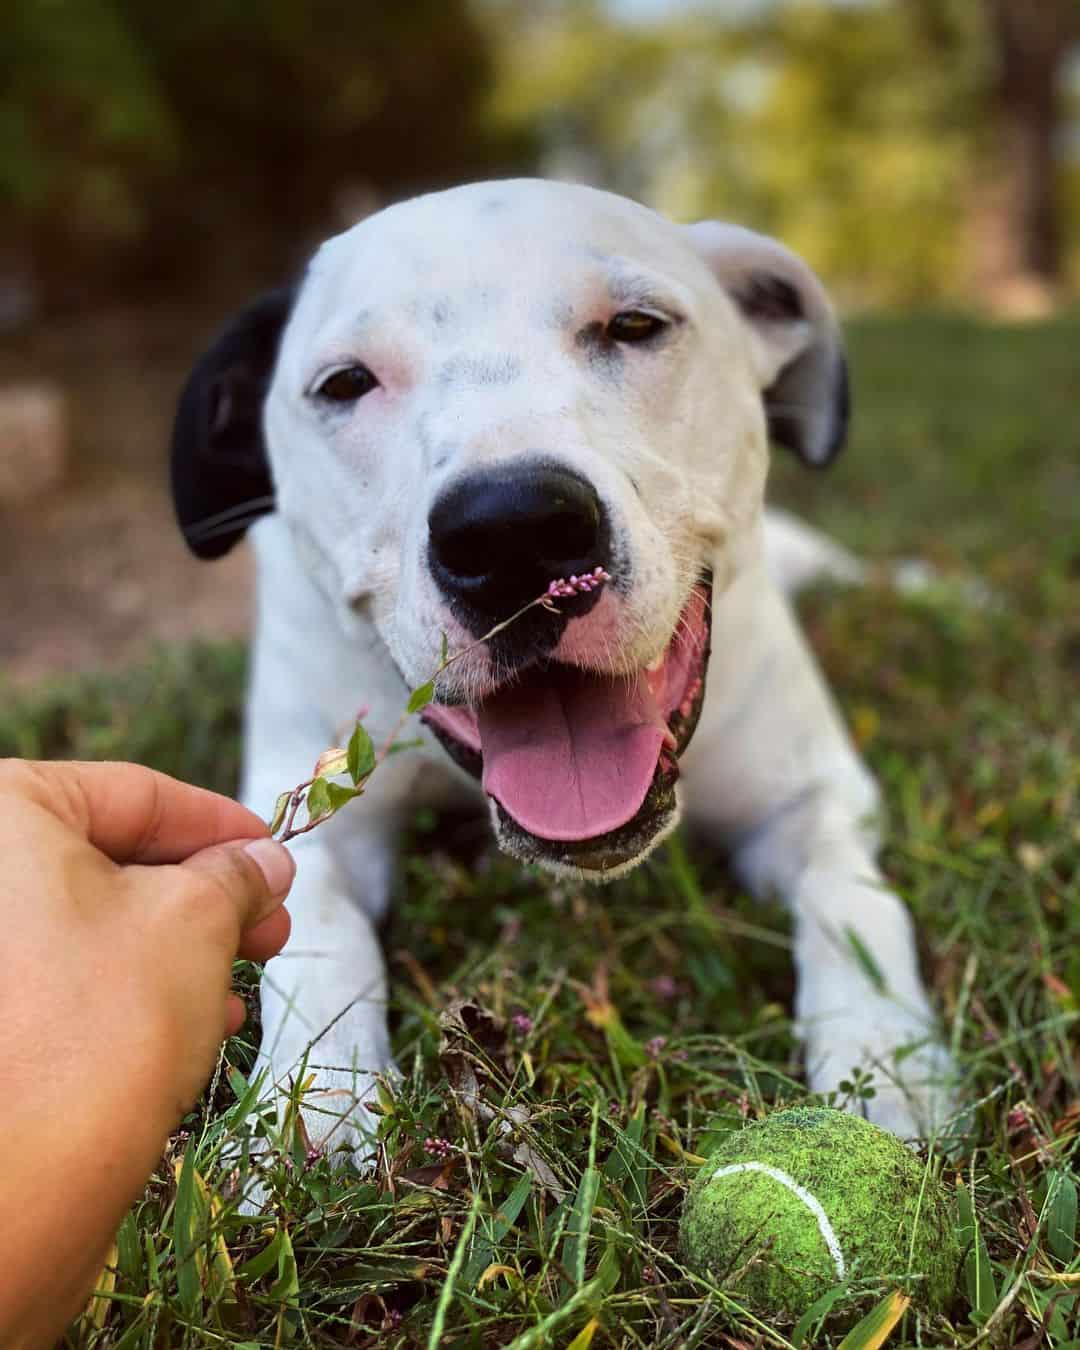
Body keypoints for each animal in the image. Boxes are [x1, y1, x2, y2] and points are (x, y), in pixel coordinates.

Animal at [166, 179, 945, 1161]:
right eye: (344, 384)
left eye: (637, 326)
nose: (512, 531)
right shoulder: (306, 816)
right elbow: (317, 933)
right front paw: (315, 1107)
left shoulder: (817, 796)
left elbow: (856, 902)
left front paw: (887, 1063)